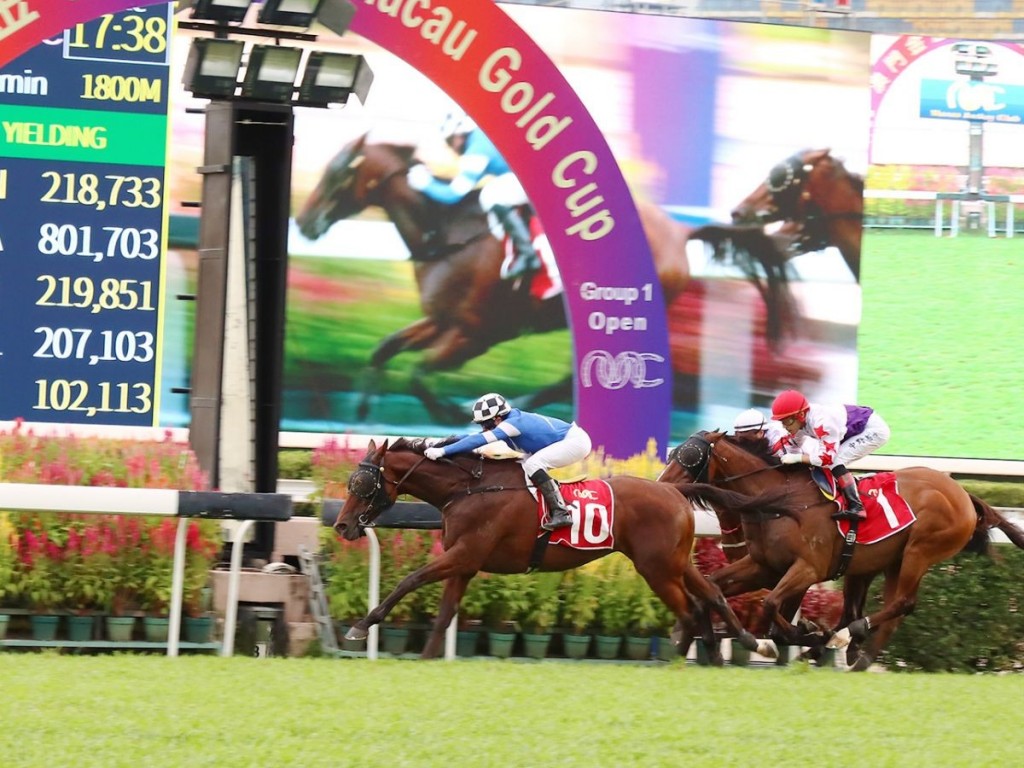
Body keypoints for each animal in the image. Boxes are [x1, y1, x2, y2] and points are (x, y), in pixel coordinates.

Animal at [292, 132, 794, 421]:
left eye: (339, 173)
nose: (304, 222)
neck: (447, 233)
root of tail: (678, 228)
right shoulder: (441, 321)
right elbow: (385, 348)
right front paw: (359, 407)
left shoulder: (475, 335)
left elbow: (417, 375)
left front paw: (455, 414)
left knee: (578, 378)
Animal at [329, 438, 790, 663]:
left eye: (362, 483)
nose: (342, 525)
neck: (469, 488)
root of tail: (674, 490)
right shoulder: (465, 563)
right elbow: (443, 615)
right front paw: (426, 659)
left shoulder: (463, 554)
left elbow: (408, 580)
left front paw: (360, 626)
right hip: (674, 563)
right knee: (708, 595)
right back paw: (742, 647)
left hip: (657, 568)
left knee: (692, 608)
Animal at [655, 430, 1024, 671]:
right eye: (675, 454)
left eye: (690, 457)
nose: (661, 486)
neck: (779, 502)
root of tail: (963, 493)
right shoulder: (765, 566)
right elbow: (714, 586)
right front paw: (688, 639)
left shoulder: (807, 568)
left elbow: (772, 607)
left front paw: (805, 635)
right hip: (889, 562)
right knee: (890, 609)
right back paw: (859, 656)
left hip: (920, 551)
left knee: (901, 603)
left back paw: (847, 637)